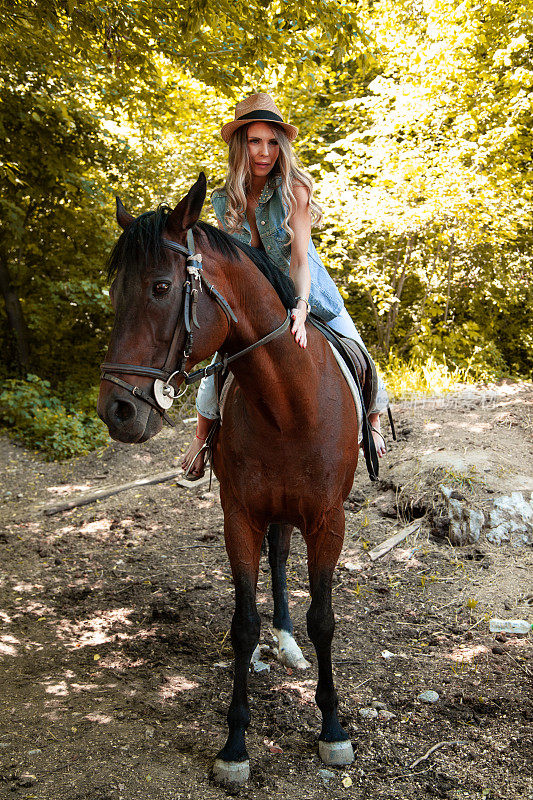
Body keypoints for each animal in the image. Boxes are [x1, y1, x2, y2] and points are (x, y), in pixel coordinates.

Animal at [97, 177, 360, 788]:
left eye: (162, 287)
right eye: (115, 293)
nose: (117, 410)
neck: (288, 402)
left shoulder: (327, 520)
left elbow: (324, 619)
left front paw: (333, 730)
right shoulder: (239, 514)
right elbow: (243, 623)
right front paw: (235, 744)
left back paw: (289, 645)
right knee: (278, 557)